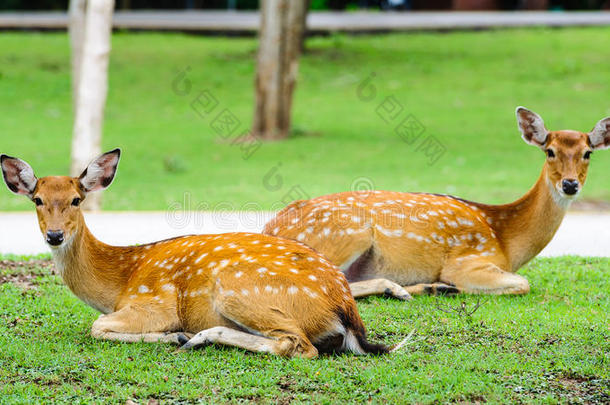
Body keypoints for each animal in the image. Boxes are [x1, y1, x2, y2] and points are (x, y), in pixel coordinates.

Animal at [1, 148, 394, 356]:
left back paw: (199, 337)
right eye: (37, 200)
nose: (54, 235)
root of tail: (345, 308)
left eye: (76, 200)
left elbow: (97, 326)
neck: (120, 282)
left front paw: (172, 335)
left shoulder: (155, 302)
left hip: (239, 288)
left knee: (297, 345)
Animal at [262, 106, 608, 296]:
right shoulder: (466, 261)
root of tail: (270, 229)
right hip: (343, 234)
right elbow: (523, 283)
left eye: (587, 153)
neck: (506, 239)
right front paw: (449, 285)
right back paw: (410, 288)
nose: (570, 184)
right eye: (549, 151)